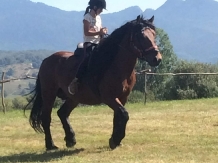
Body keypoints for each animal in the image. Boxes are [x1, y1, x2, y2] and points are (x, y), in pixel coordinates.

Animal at [26, 15, 162, 150]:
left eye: (154, 34)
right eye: (140, 36)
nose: (157, 59)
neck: (115, 65)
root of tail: (46, 60)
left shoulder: (123, 97)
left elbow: (118, 116)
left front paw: (115, 141)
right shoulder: (109, 97)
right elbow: (124, 114)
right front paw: (116, 138)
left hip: (74, 97)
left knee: (62, 113)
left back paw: (70, 139)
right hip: (49, 94)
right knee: (46, 117)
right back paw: (51, 145)